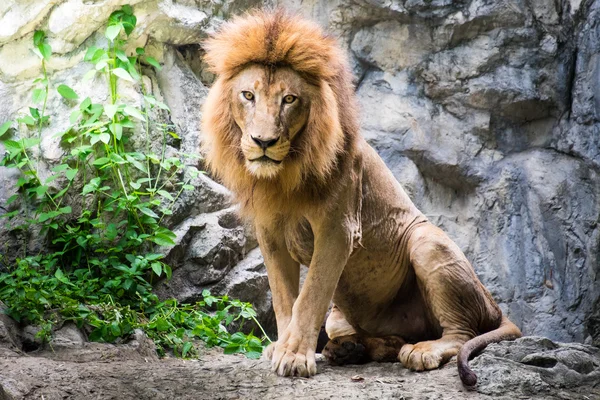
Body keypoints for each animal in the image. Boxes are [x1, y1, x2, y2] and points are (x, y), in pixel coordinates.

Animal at [200, 10, 520, 384]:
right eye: (248, 95)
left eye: (289, 99)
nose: (263, 142)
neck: (285, 176)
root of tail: (496, 307)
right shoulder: (270, 233)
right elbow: (283, 298)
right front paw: (281, 347)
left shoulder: (338, 227)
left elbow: (310, 295)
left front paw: (293, 356)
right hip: (340, 316)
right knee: (387, 341)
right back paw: (347, 349)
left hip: (426, 243)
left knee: (459, 333)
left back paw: (420, 351)